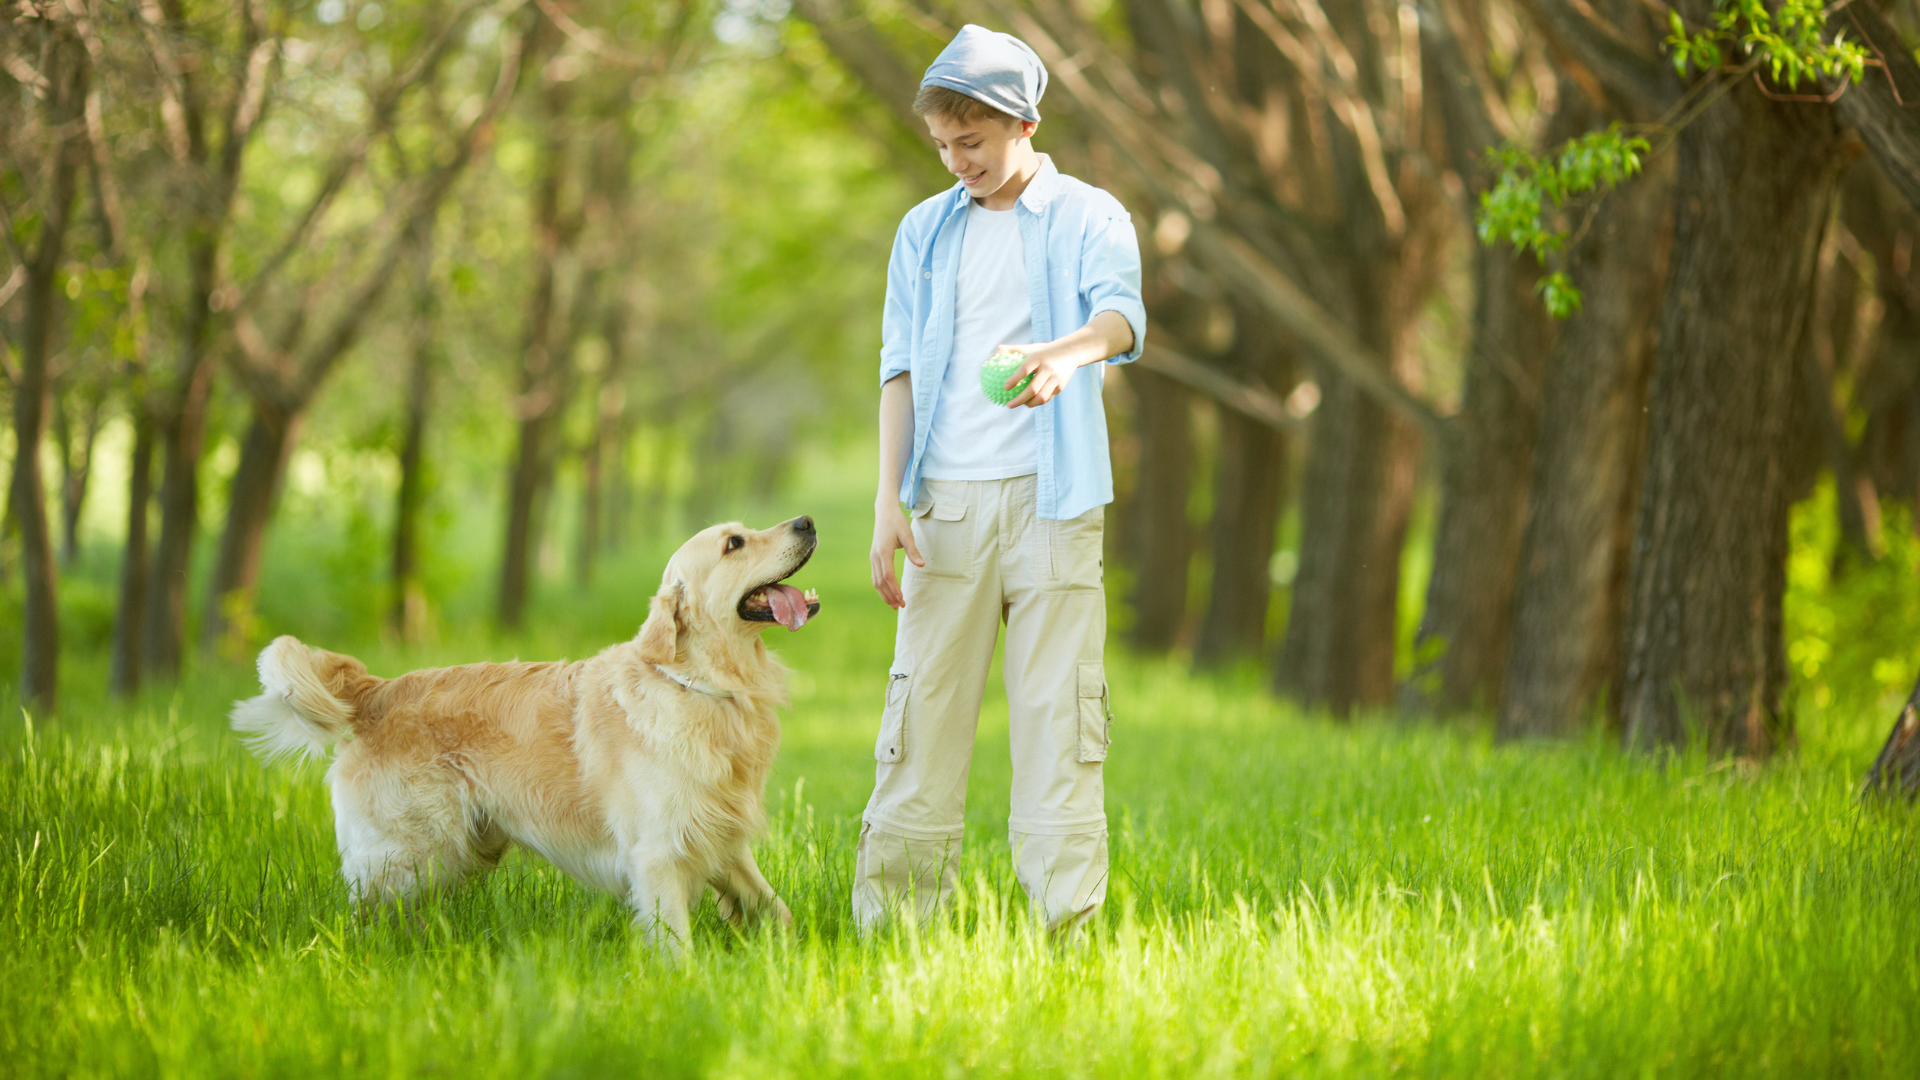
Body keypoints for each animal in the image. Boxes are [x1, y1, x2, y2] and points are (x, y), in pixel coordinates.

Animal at [228, 511, 821, 949]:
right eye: (734, 543)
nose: (806, 521)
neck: (703, 685)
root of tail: (378, 690)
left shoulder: (722, 842)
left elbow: (779, 912)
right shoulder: (658, 854)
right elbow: (677, 945)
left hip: (456, 854)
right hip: (409, 854)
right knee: (359, 914)